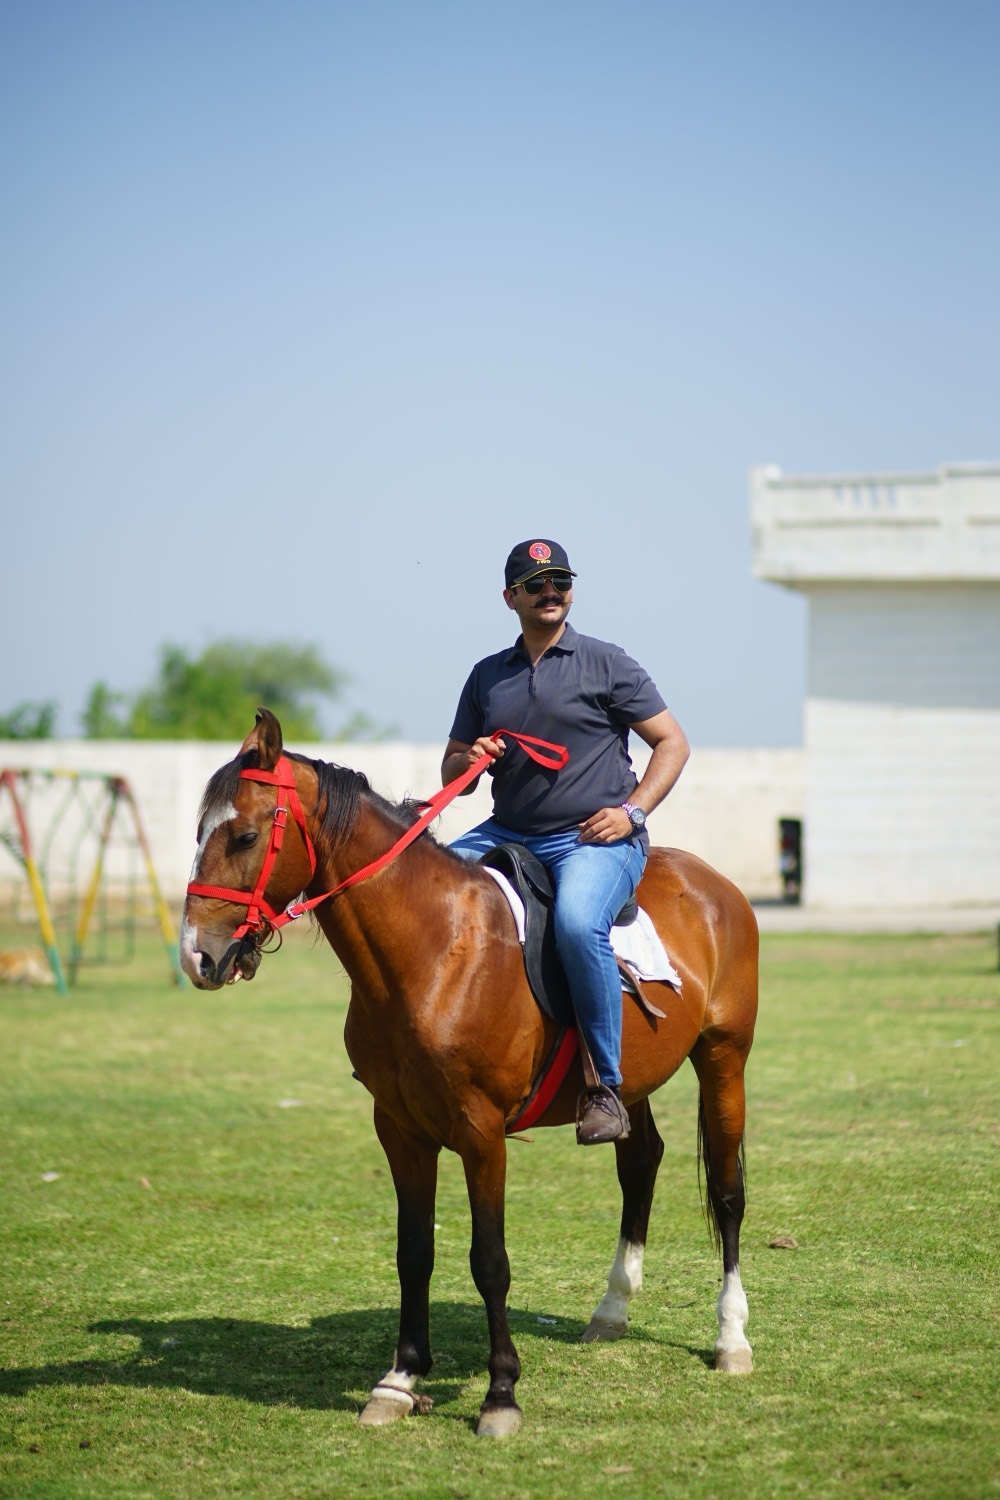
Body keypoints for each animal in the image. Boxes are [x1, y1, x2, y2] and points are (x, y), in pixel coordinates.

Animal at [180, 709, 758, 1437]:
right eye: (199, 832)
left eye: (247, 835)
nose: (197, 954)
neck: (435, 951)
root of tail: (713, 885)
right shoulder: (400, 1130)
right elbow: (413, 1253)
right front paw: (399, 1380)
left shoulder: (481, 1134)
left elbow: (490, 1262)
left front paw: (501, 1393)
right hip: (627, 1081)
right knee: (640, 1161)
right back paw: (611, 1310)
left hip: (724, 1058)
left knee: (729, 1193)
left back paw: (731, 1338)